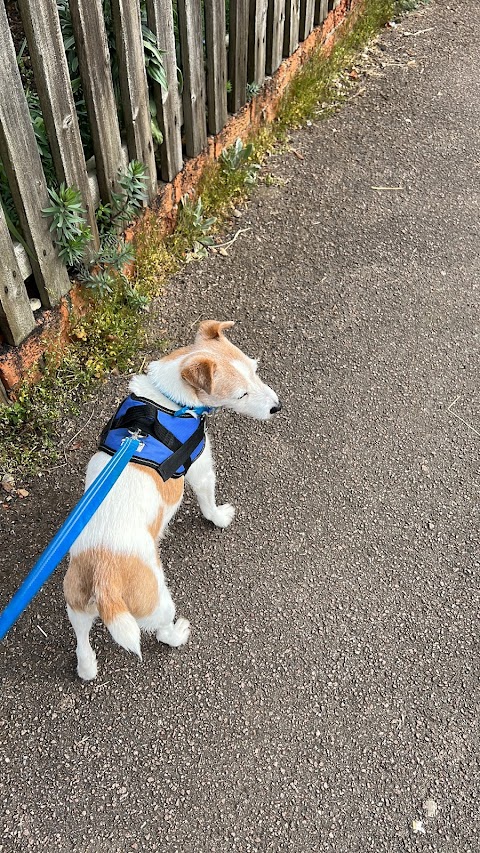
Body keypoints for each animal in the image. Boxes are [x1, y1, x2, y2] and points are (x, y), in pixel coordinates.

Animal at [63, 320, 282, 680]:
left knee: (82, 641)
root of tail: (104, 578)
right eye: (241, 394)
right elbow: (208, 500)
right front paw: (219, 518)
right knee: (160, 630)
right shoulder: (201, 467)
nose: (277, 407)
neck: (164, 400)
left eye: (255, 370)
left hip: (76, 605)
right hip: (157, 602)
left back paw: (87, 667)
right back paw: (178, 634)